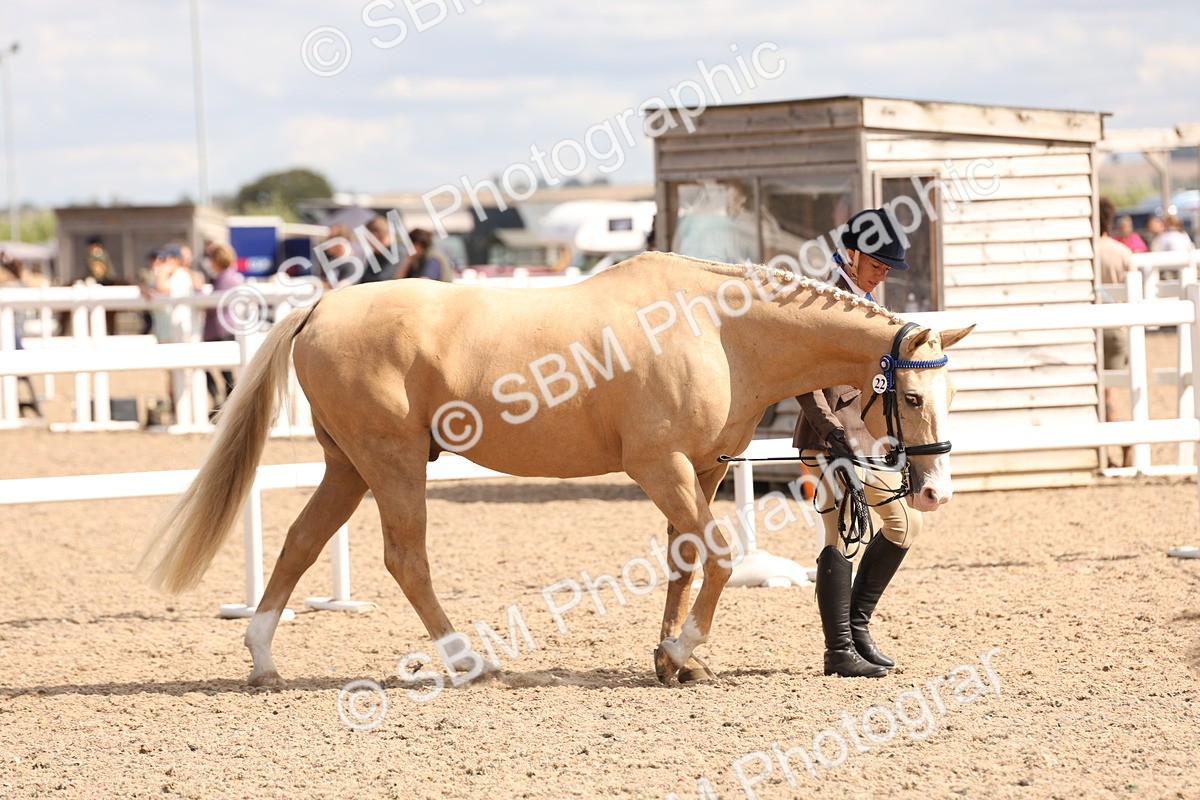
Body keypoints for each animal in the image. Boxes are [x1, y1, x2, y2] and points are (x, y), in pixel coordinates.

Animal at [140, 252, 972, 688]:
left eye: (952, 392)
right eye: (910, 395)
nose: (934, 491)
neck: (719, 329)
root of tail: (319, 309)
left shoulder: (699, 470)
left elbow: (683, 559)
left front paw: (672, 662)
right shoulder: (659, 467)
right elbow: (717, 557)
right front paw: (680, 651)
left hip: (346, 466)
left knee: (301, 545)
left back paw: (262, 660)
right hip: (391, 462)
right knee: (405, 558)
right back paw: (466, 661)